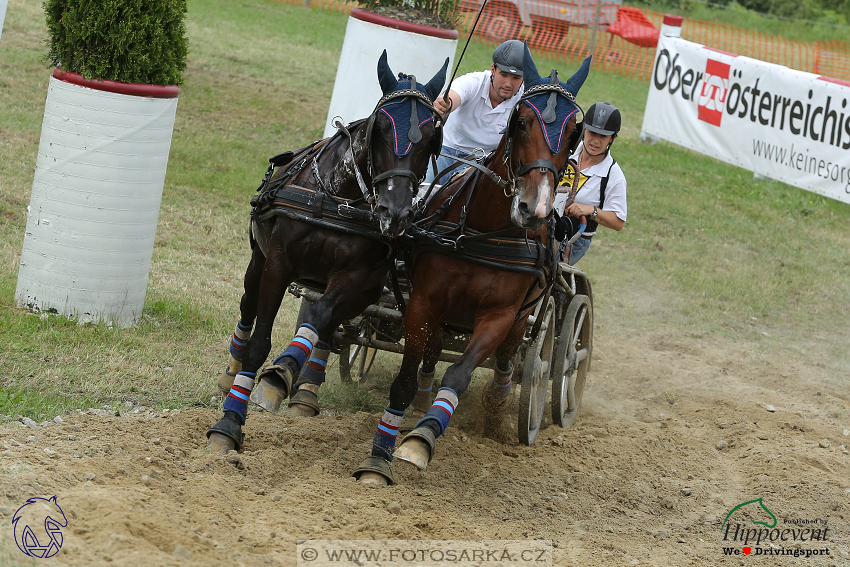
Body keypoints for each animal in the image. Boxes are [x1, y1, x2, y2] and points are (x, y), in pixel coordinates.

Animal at [204, 52, 450, 452]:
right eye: (381, 127)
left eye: (432, 138)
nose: (396, 211)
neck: (338, 197)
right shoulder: (278, 263)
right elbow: (259, 342)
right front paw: (229, 424)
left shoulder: (356, 279)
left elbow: (319, 317)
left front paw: (281, 374)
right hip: (257, 261)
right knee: (248, 307)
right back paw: (231, 375)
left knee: (329, 323)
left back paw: (300, 385)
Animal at [352, 46, 588, 486]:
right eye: (521, 122)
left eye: (573, 136)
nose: (536, 209)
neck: (480, 230)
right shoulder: (424, 302)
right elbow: (405, 379)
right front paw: (379, 457)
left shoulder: (499, 316)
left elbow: (459, 375)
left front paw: (420, 440)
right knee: (433, 353)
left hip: (527, 317)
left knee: (513, 361)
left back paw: (499, 405)